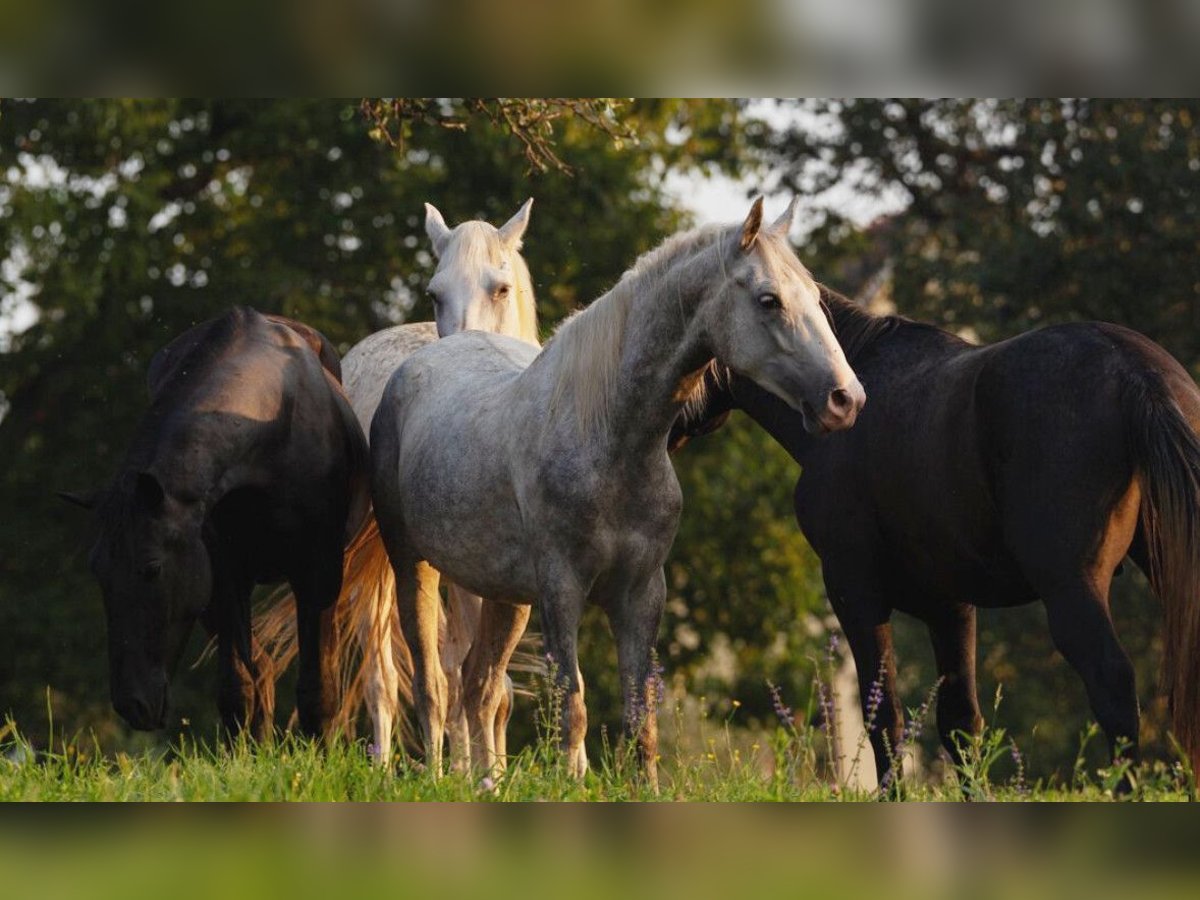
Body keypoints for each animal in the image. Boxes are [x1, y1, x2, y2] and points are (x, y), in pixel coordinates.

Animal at [60, 309, 367, 739]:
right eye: (98, 572)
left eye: (151, 568)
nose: (132, 705)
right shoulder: (222, 576)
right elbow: (238, 688)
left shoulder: (318, 570)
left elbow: (318, 691)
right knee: (260, 672)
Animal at [256, 196, 540, 763]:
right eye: (434, 293)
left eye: (500, 287)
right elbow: (468, 674)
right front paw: (484, 769)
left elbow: (491, 680)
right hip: (380, 564)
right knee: (385, 677)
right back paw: (389, 764)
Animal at [372, 199, 864, 787]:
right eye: (769, 299)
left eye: (814, 295)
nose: (846, 398)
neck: (608, 439)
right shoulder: (561, 589)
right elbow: (574, 707)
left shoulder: (641, 592)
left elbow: (640, 717)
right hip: (413, 567)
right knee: (433, 683)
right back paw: (437, 778)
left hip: (504, 597)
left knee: (481, 684)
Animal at [676, 286, 1200, 782]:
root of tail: (1134, 372)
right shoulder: (950, 607)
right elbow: (960, 723)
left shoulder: (855, 592)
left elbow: (883, 717)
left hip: (1070, 586)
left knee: (1112, 685)